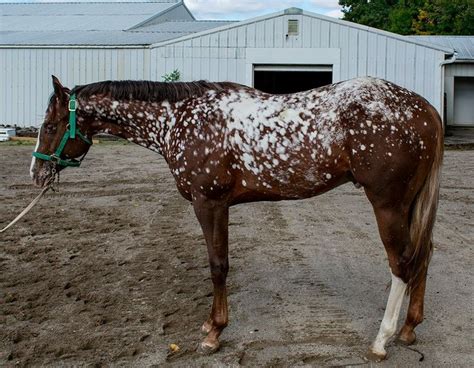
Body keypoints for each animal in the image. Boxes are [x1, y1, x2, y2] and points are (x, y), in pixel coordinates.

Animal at [31, 76, 442, 360]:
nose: (35, 173)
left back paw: (382, 340)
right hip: (409, 206)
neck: (178, 120)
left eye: (49, 127)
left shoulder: (208, 203)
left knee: (402, 264)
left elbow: (218, 265)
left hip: (388, 204)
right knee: (423, 256)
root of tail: (424, 108)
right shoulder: (220, 206)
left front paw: (214, 333)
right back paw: (409, 329)